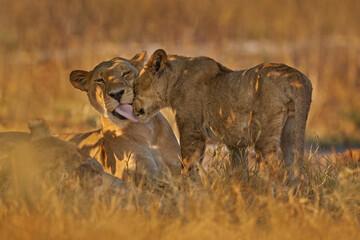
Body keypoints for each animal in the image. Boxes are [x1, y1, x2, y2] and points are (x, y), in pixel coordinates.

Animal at [132, 49, 312, 183]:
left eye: (134, 86)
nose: (132, 108)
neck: (174, 80)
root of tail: (295, 77)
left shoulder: (192, 129)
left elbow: (189, 163)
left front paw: (185, 188)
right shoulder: (235, 142)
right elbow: (239, 168)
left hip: (265, 135)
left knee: (272, 171)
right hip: (292, 130)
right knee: (294, 170)